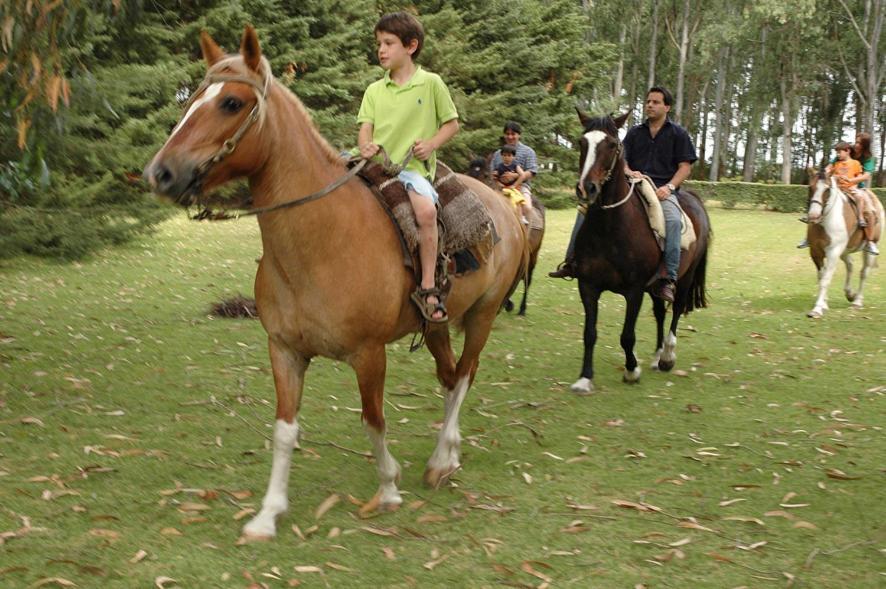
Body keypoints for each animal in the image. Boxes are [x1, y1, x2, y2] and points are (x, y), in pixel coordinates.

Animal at [141, 25, 524, 536]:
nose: (160, 173)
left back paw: (442, 459)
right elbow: (284, 431)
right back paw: (450, 453)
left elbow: (373, 420)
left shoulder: (369, 354)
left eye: (231, 103)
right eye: (194, 99)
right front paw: (268, 513)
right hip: (437, 323)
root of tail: (504, 205)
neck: (319, 243)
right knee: (448, 377)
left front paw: (388, 488)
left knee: (464, 375)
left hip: (483, 314)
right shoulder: (284, 351)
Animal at [568, 110, 716, 396]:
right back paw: (658, 356)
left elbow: (627, 335)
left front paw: (631, 370)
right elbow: (589, 333)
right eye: (582, 142)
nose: (586, 188)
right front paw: (584, 378)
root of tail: (694, 199)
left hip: (684, 277)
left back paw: (667, 356)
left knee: (676, 309)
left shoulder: (634, 290)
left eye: (611, 145)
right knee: (660, 311)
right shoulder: (588, 285)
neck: (610, 227)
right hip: (656, 285)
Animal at [808, 168, 884, 320]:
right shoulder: (815, 252)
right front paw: (824, 304)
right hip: (845, 250)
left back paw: (857, 301)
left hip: (868, 250)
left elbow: (826, 279)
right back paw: (850, 294)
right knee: (850, 265)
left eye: (827, 189)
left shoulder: (833, 252)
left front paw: (817, 309)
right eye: (810, 187)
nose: (813, 216)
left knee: (864, 272)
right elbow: (821, 277)